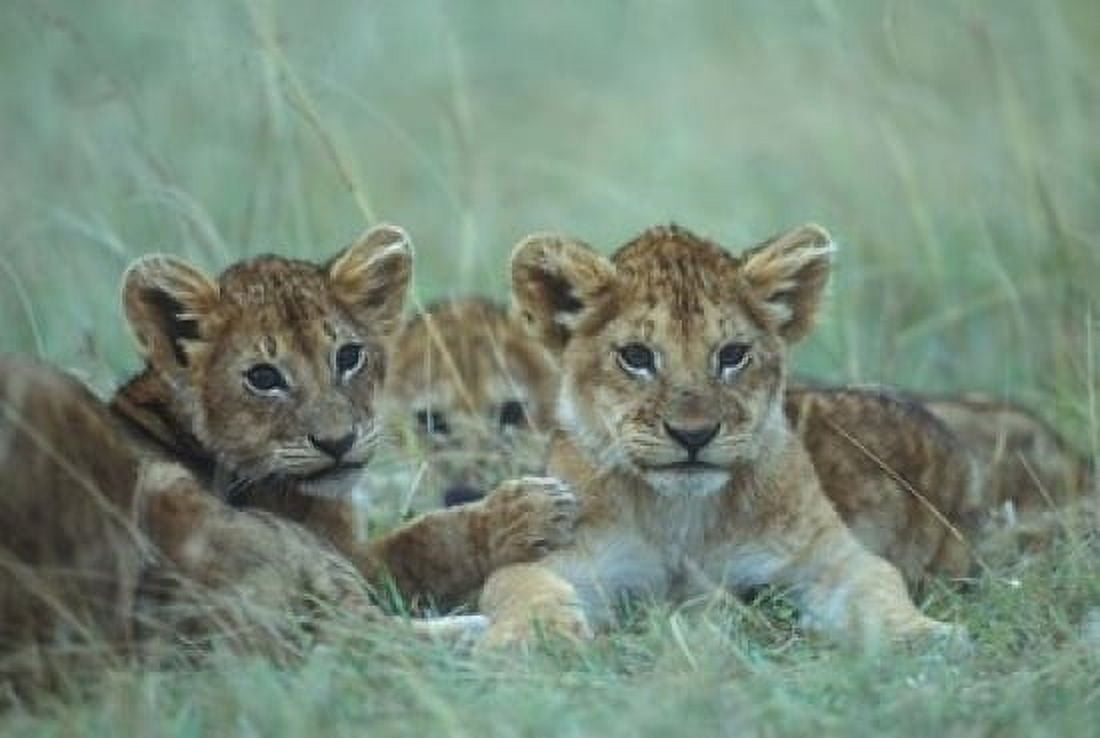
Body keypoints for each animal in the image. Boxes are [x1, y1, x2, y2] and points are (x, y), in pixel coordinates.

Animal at [477, 223, 960, 649]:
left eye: (733, 355)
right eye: (636, 356)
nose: (694, 435)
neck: (681, 516)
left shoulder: (825, 556)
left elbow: (877, 581)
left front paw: (920, 635)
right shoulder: (570, 558)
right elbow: (517, 583)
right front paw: (531, 639)